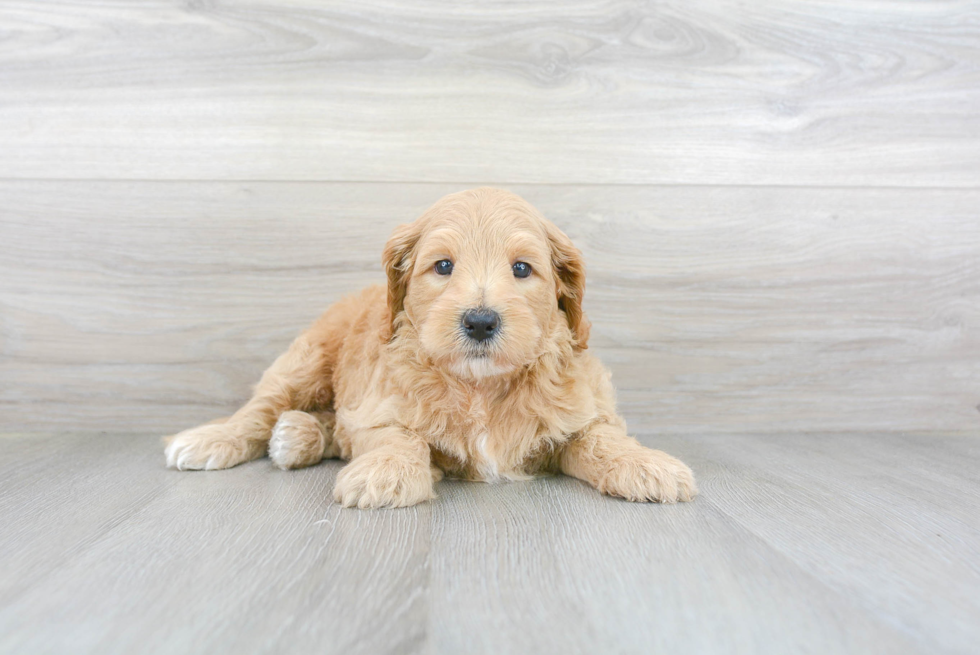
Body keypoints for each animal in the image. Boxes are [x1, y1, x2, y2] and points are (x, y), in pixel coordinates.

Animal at [165, 187, 696, 510]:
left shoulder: (581, 409)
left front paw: (647, 465)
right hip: (306, 359)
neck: (481, 387)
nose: (480, 321)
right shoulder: (378, 407)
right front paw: (385, 474)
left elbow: (602, 438)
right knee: (260, 410)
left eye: (522, 269)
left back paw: (297, 435)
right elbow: (399, 438)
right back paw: (215, 440)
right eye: (443, 266)